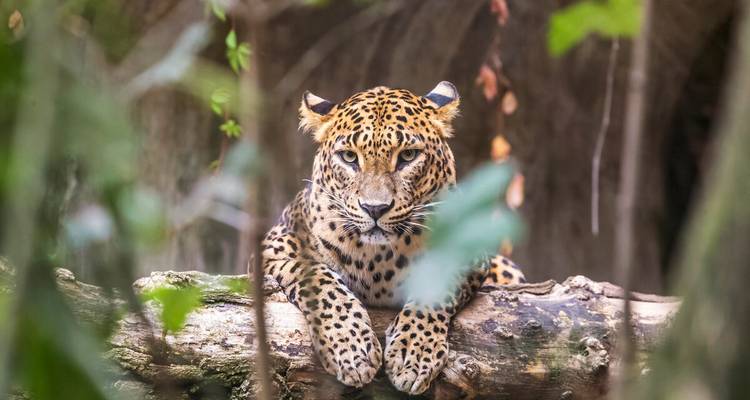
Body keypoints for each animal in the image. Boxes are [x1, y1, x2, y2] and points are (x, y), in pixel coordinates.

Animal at [261, 82, 525, 395]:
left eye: (408, 156)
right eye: (349, 157)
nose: (375, 208)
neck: (376, 258)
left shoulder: (467, 251)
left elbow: (435, 287)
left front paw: (414, 353)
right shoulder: (274, 246)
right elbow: (319, 281)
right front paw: (352, 350)